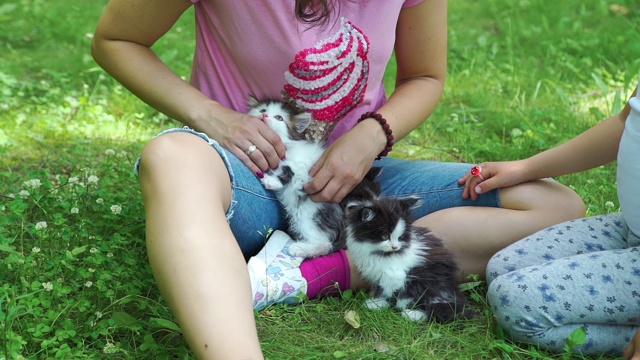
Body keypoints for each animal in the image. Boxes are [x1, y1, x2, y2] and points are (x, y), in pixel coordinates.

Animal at [246, 95, 344, 258]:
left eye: (279, 118)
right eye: (262, 110)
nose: (264, 116)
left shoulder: (301, 164)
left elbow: (288, 170)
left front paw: (271, 180)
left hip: (309, 211)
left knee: (324, 243)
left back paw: (299, 248)